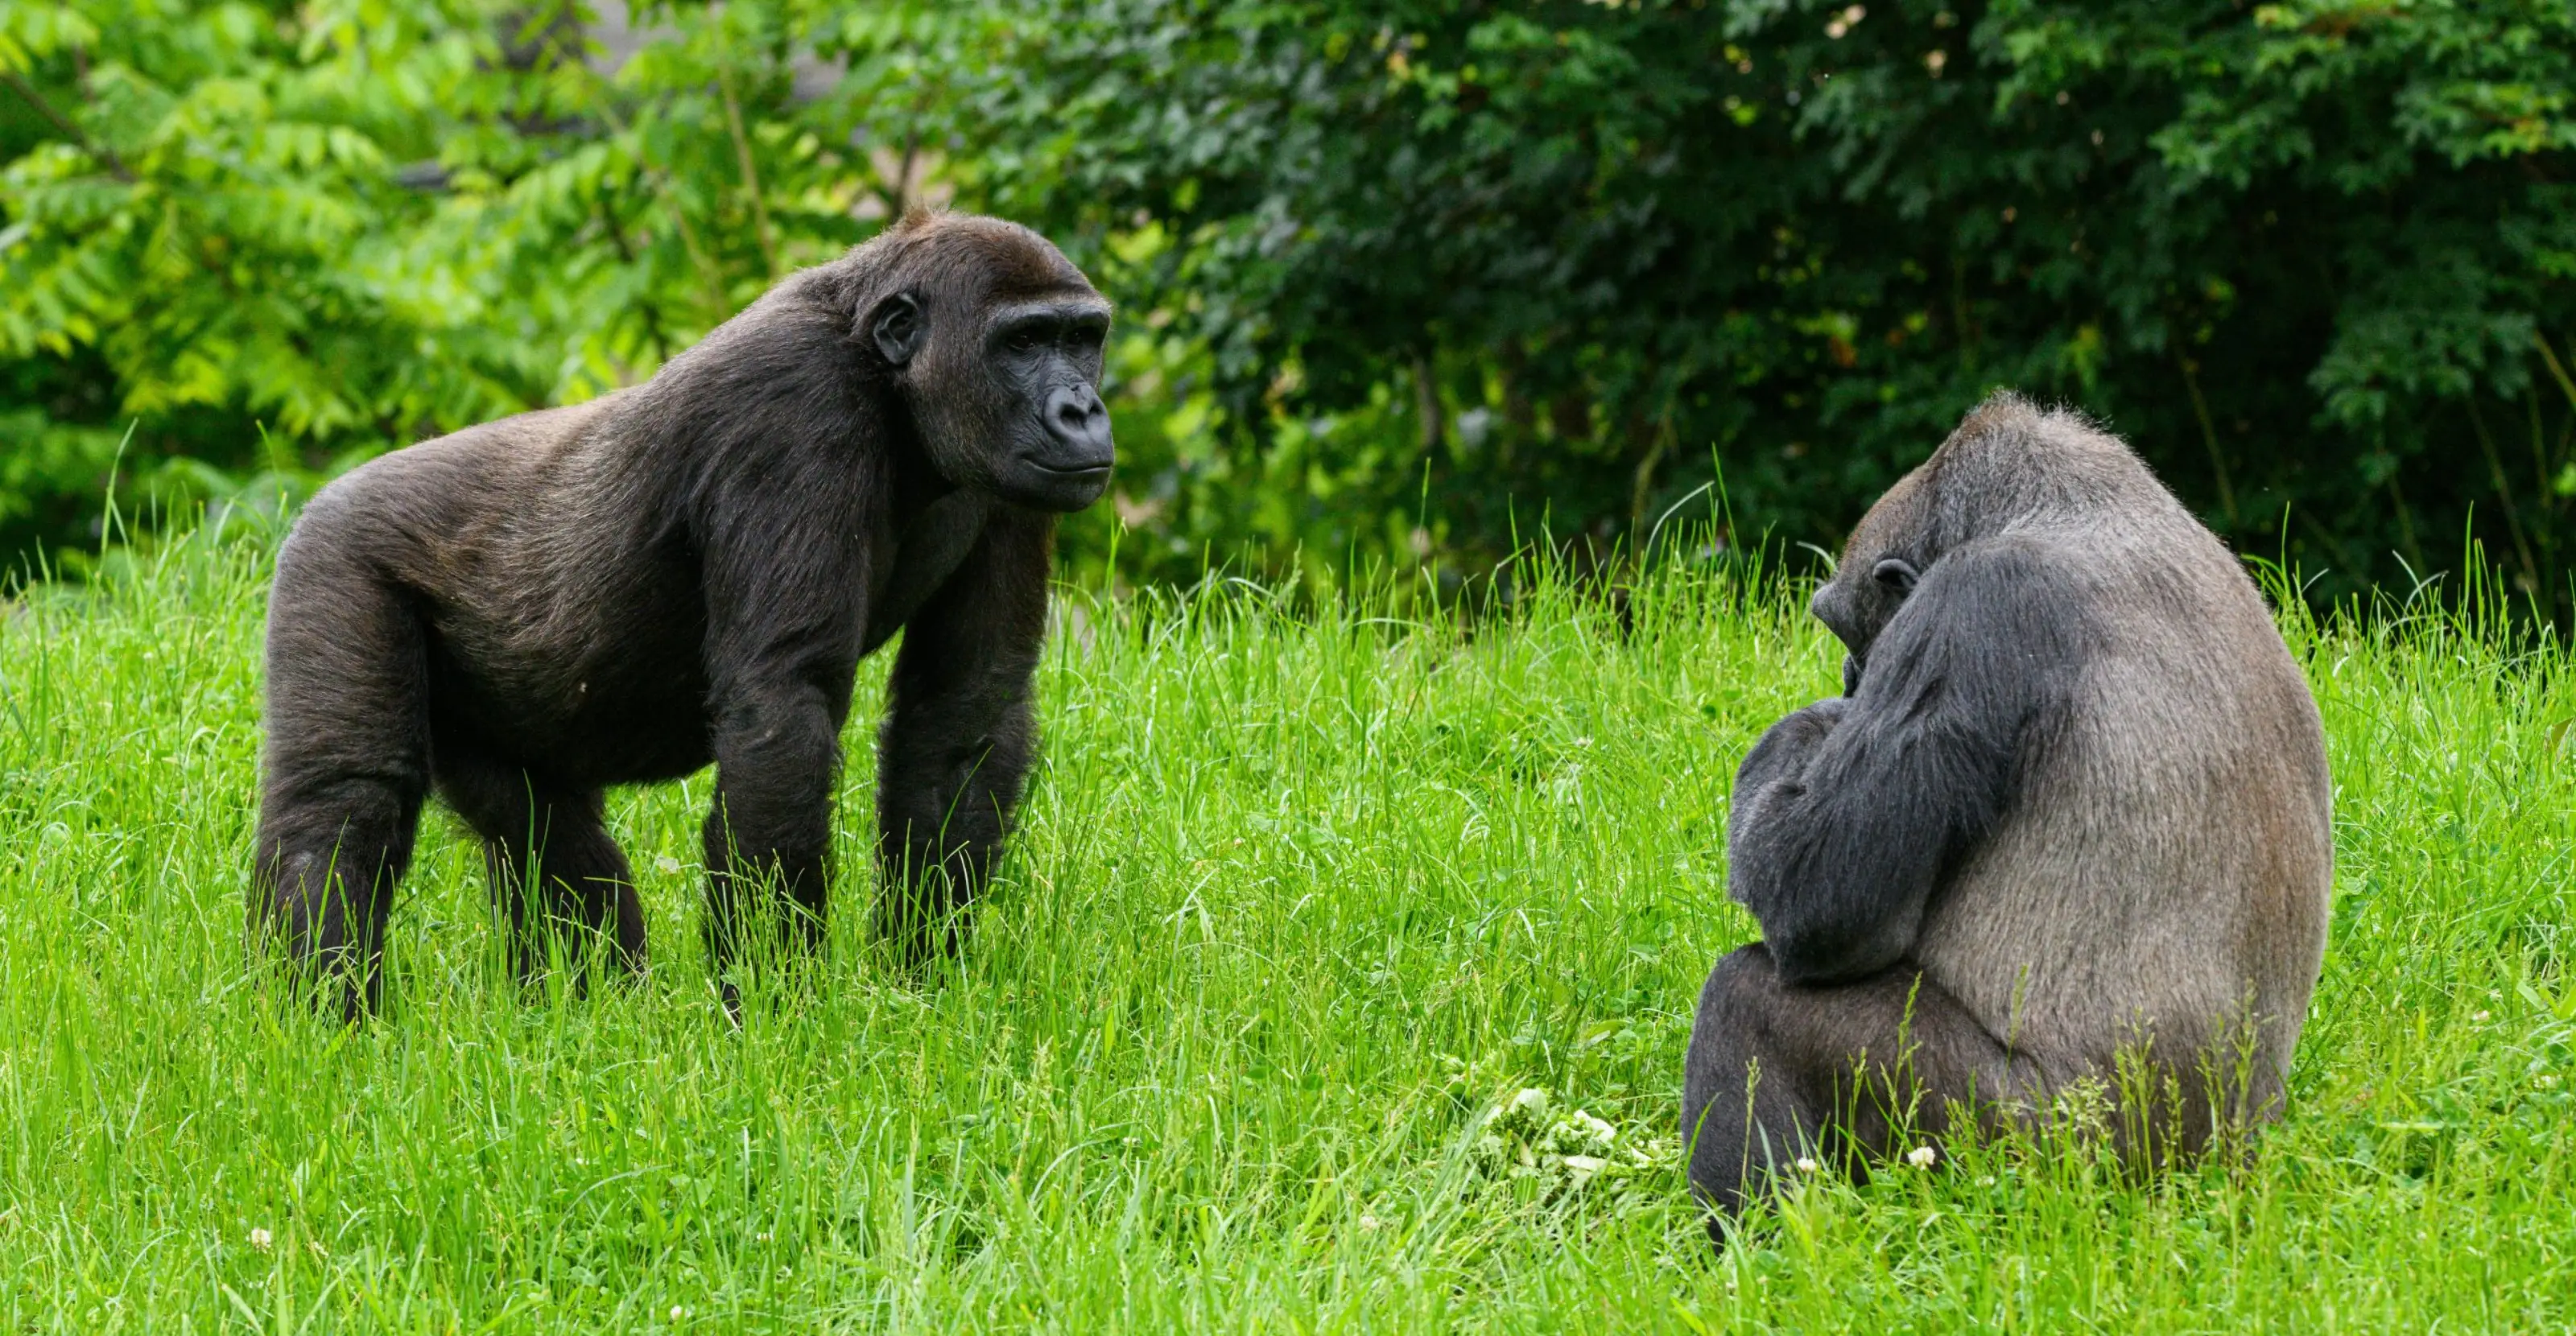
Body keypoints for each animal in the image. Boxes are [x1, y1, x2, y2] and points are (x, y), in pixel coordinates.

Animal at [252, 209, 1114, 1019]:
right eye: (1023, 342)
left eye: (1083, 339)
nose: (1083, 411)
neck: (889, 382)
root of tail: (325, 497)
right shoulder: (794, 406)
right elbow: (784, 707)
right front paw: (777, 1011)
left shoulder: (1011, 487)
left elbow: (965, 710)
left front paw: (919, 981)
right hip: (334, 560)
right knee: (344, 805)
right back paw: (324, 1024)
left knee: (543, 833)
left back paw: (592, 1015)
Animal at [1681, 392, 2333, 1228]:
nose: (1854, 676)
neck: (2082, 510)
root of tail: (2218, 1163)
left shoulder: (1977, 599)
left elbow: (1821, 904)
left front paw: (1808, 730)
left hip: (2038, 1153)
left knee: (1747, 997)